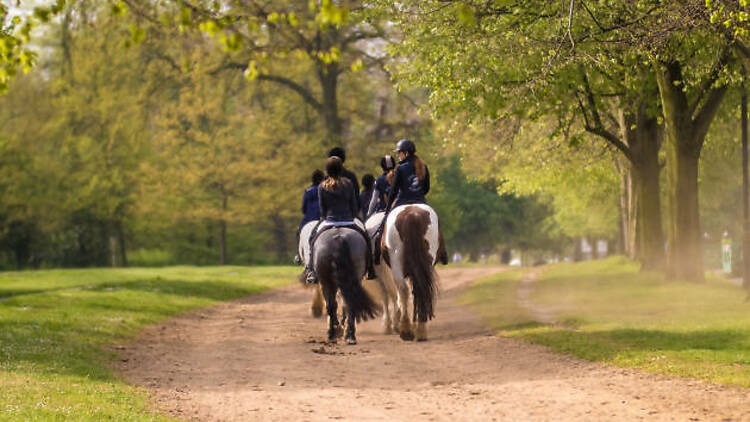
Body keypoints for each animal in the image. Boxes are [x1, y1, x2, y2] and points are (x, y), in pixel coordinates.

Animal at [384, 204, 444, 342]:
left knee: (404, 290)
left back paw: (407, 329)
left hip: (396, 261)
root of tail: (412, 215)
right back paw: (419, 329)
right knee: (420, 290)